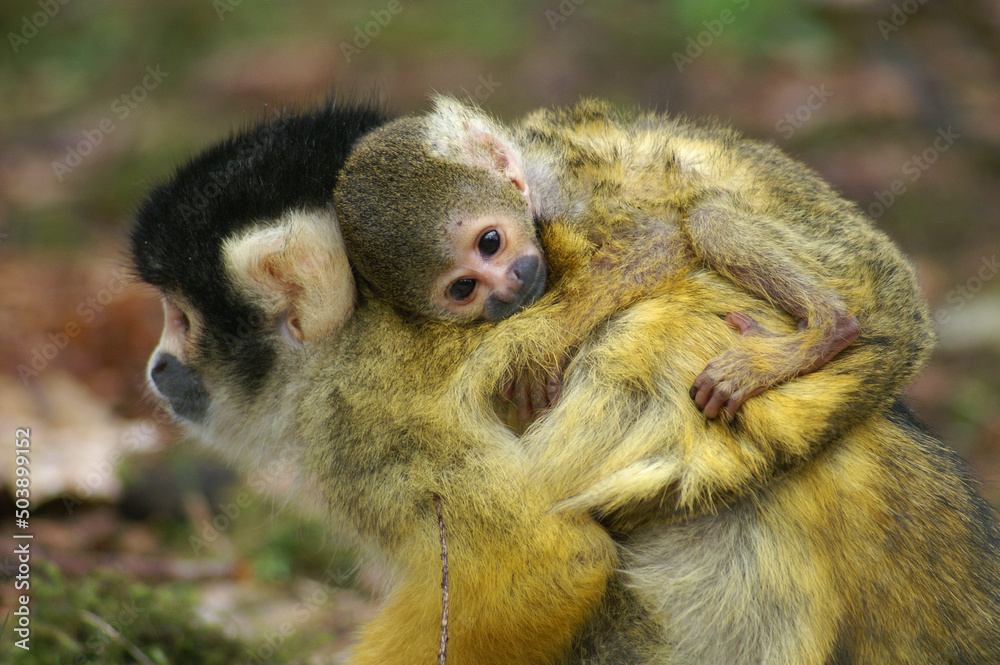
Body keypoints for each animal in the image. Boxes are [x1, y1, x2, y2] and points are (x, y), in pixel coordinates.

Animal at [334, 95, 935, 423]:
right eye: (464, 289)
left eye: (491, 242)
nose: (509, 287)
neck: (531, 169)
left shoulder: (564, 193)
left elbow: (661, 240)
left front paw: (541, 342)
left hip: (841, 254)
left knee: (708, 219)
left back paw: (829, 328)